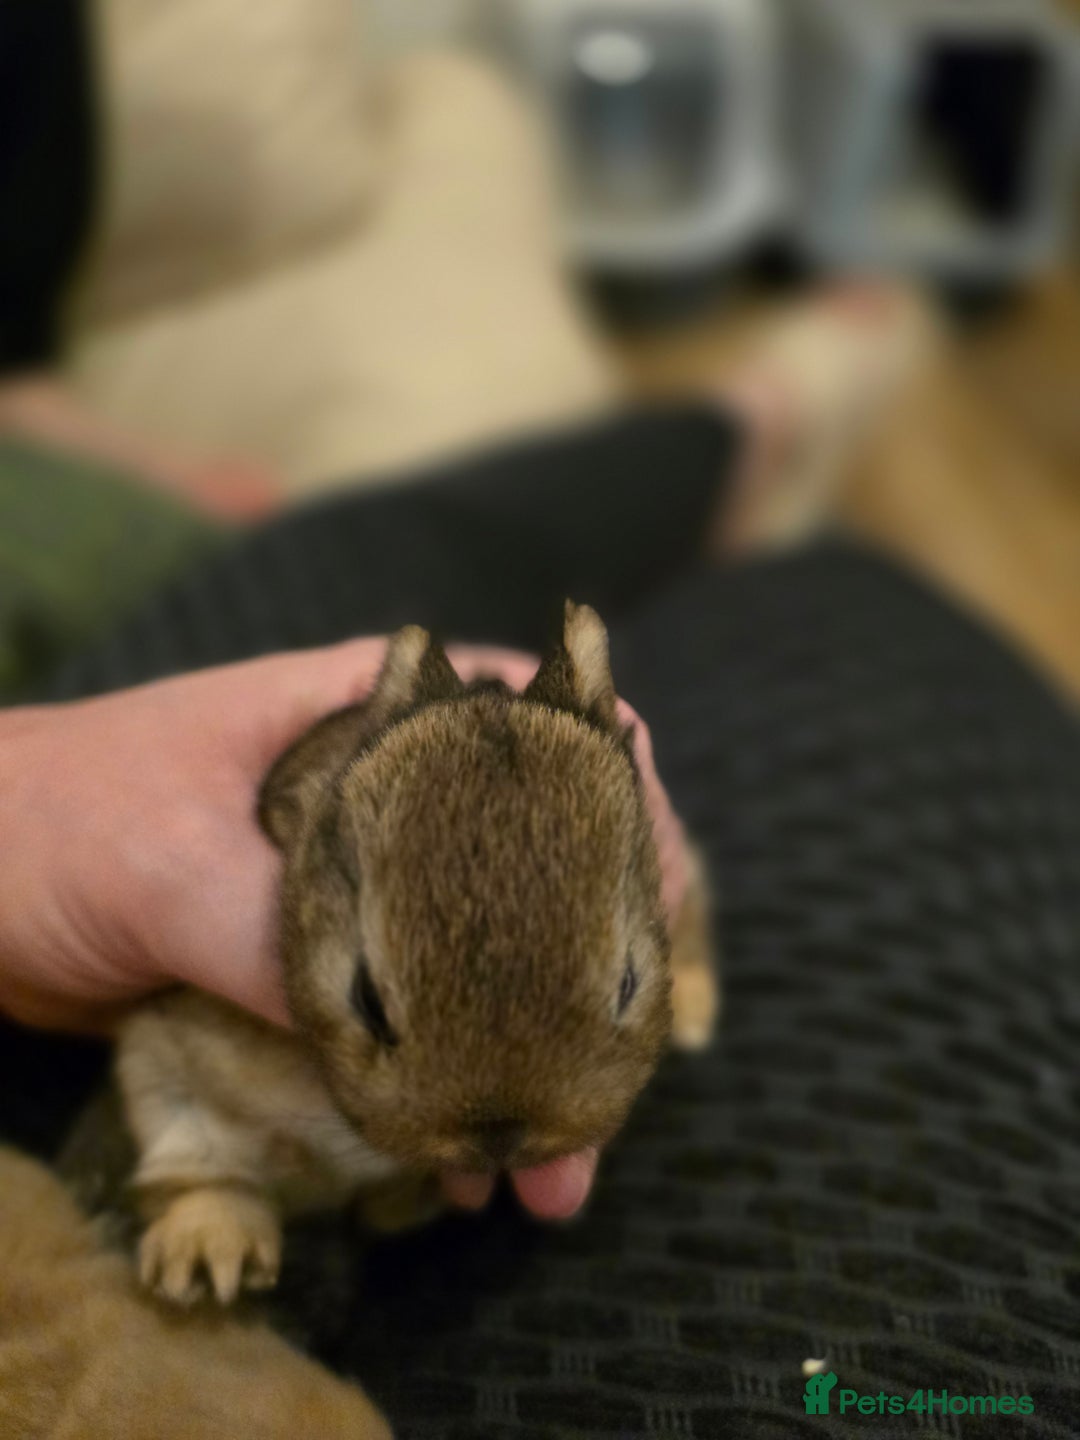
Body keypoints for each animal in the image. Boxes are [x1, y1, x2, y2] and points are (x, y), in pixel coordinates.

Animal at [114, 602, 718, 1307]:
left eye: (628, 983)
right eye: (365, 999)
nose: (498, 1136)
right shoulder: (165, 1056)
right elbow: (193, 1159)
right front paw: (209, 1254)